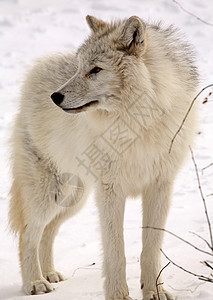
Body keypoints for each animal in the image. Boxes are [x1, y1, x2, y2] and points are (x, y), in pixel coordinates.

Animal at [8, 14, 198, 300]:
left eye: (96, 70)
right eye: (78, 68)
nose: (55, 96)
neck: (137, 125)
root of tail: (38, 68)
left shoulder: (160, 187)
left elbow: (151, 248)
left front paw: (155, 291)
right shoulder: (111, 191)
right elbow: (116, 251)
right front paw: (119, 295)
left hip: (74, 199)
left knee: (48, 231)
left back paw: (50, 273)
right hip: (48, 196)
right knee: (28, 234)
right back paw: (35, 283)